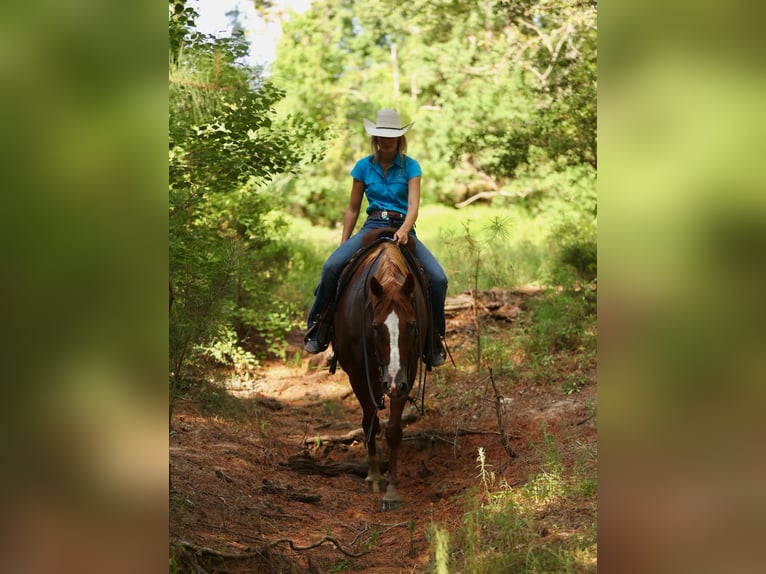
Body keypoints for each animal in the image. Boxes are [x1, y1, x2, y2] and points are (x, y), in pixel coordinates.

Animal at [336, 227, 432, 510]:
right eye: (377, 326)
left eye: (412, 325)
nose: (392, 382)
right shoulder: (357, 372)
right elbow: (370, 421)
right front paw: (374, 476)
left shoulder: (407, 373)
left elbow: (393, 430)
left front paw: (391, 488)